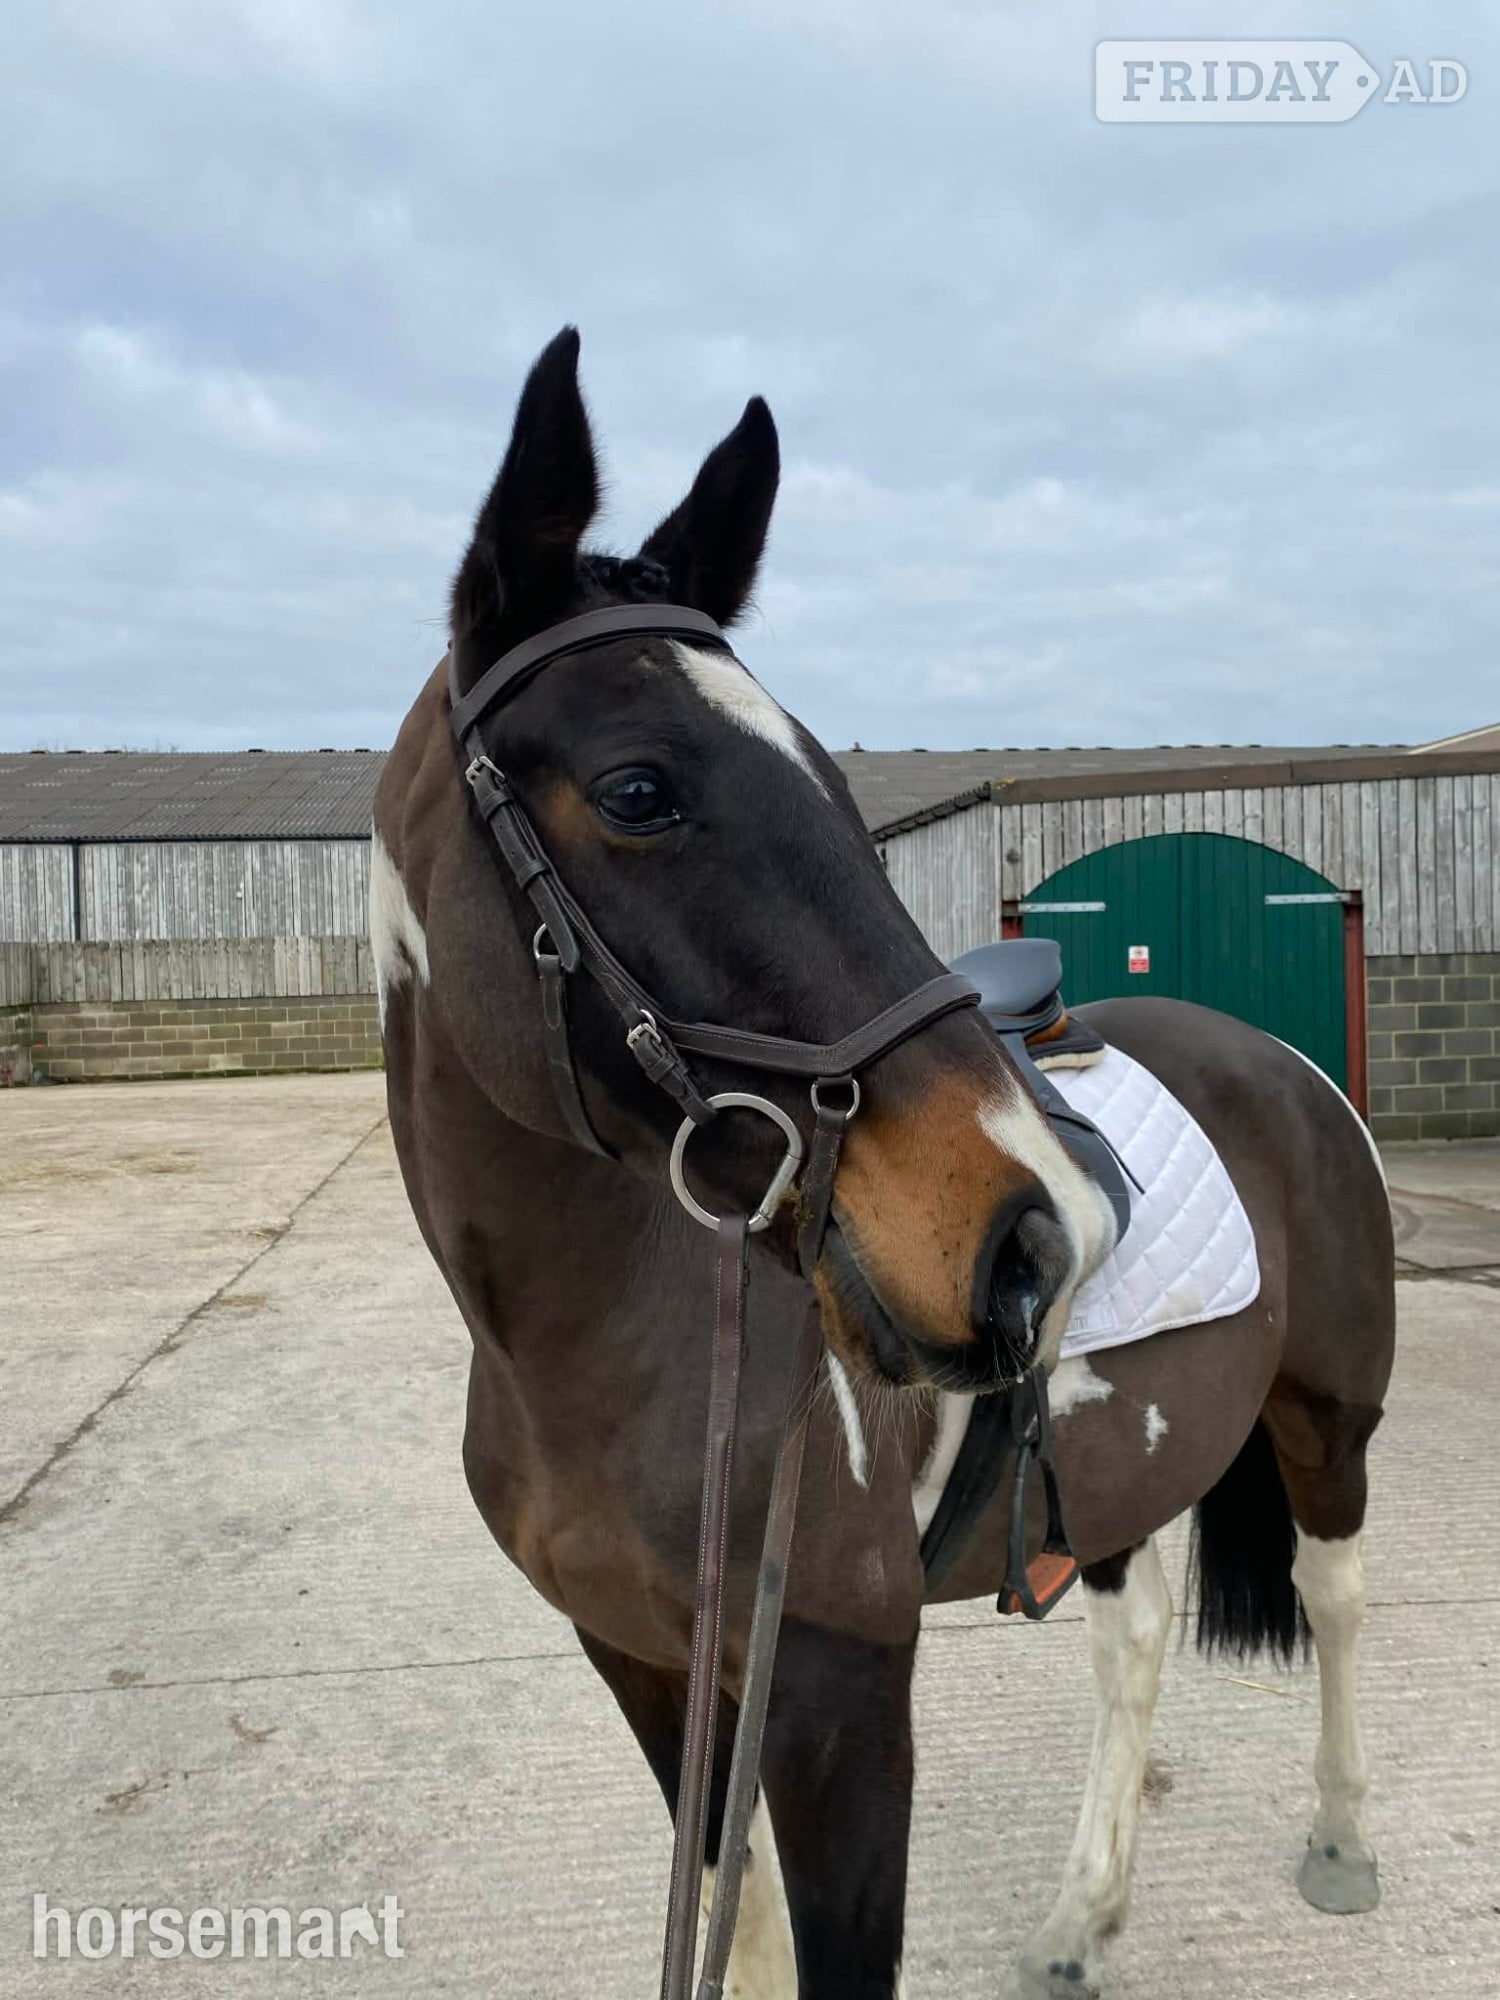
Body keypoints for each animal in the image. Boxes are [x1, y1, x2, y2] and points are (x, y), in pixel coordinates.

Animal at [373, 329, 1395, 1999]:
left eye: (843, 791)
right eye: (642, 788)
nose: (1043, 1237)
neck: (596, 1350)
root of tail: (1280, 1061)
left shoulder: (841, 1691)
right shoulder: (650, 1663)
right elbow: (725, 1900)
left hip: (1328, 1418)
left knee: (1335, 1595)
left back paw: (1342, 1844)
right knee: (1135, 1632)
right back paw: (1080, 1922)